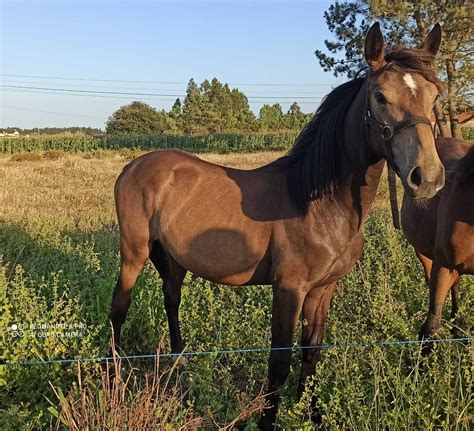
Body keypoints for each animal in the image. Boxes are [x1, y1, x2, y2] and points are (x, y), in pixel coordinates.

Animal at [111, 24, 444, 431]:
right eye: (380, 96)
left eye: (434, 95)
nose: (427, 177)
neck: (318, 202)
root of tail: (133, 166)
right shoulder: (288, 289)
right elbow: (280, 361)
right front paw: (269, 420)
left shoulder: (322, 290)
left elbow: (312, 352)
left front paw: (312, 414)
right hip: (135, 252)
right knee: (119, 307)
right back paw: (114, 378)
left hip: (172, 258)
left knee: (171, 298)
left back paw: (180, 363)